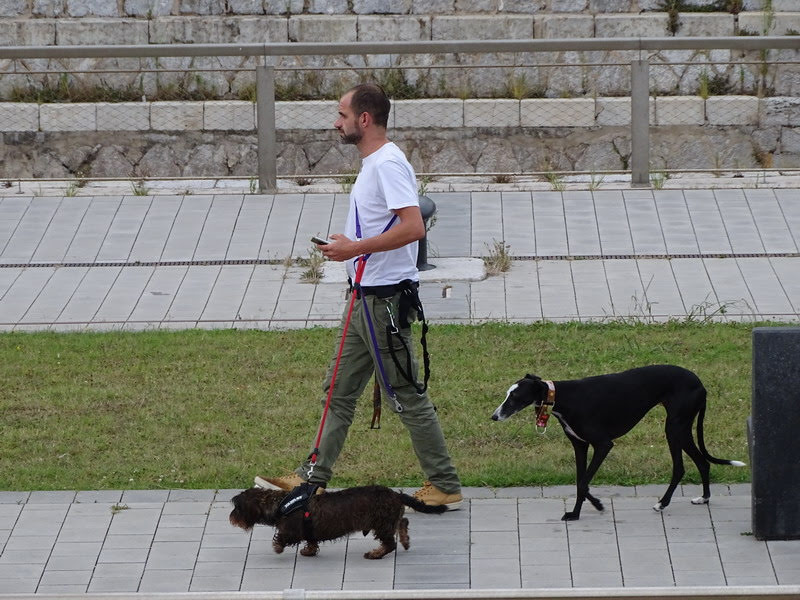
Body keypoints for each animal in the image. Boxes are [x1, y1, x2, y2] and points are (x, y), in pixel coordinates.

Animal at [228, 486, 446, 560]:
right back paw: (406, 540)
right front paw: (309, 551)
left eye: (237, 507)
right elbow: (311, 542)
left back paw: (375, 554)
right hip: (389, 520)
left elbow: (281, 538)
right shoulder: (310, 532)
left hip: (382, 524)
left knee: (390, 544)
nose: (230, 518)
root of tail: (396, 495)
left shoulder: (291, 530)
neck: (280, 503)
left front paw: (278, 547)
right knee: (403, 521)